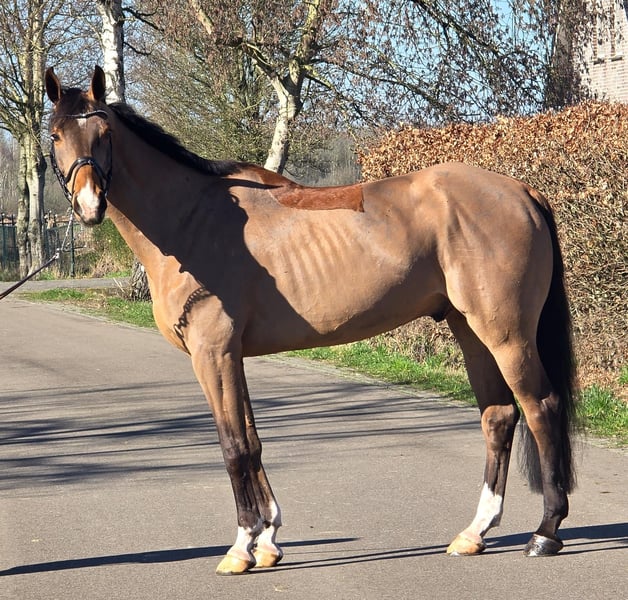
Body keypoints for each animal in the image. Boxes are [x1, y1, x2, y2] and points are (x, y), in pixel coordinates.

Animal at [44, 66, 578, 575]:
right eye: (55, 134)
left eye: (104, 132)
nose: (90, 205)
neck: (192, 221)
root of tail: (523, 190)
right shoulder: (233, 356)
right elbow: (253, 442)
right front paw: (267, 541)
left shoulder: (212, 354)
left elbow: (233, 446)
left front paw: (241, 547)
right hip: (469, 330)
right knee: (499, 416)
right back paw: (474, 533)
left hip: (506, 335)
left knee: (541, 407)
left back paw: (545, 533)